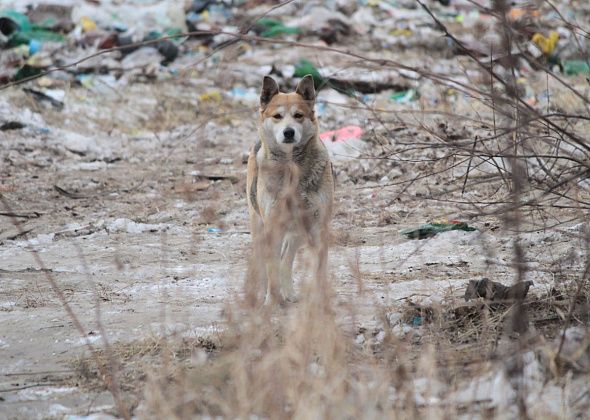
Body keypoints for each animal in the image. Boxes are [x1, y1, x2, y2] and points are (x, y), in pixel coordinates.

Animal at [247, 75, 336, 306]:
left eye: (298, 115)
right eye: (277, 116)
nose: (289, 132)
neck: (291, 168)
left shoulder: (318, 226)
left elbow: (319, 269)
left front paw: (320, 302)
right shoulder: (272, 226)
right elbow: (271, 270)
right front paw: (271, 302)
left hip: (299, 231)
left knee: (286, 259)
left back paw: (288, 293)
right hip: (259, 224)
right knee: (263, 261)